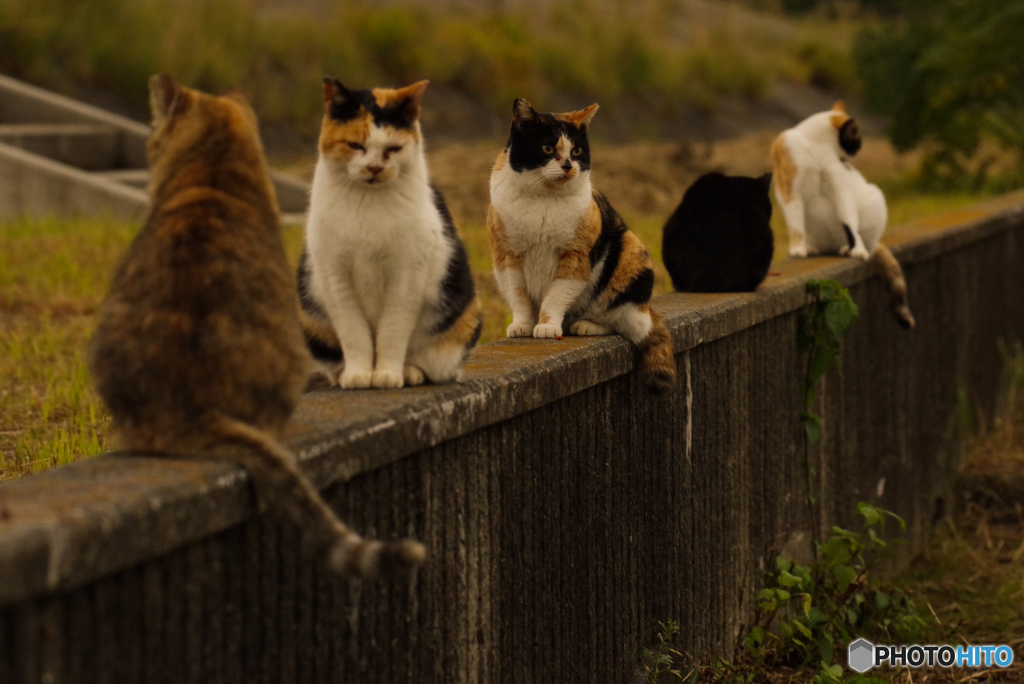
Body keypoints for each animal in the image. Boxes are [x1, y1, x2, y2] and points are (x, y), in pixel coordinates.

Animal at [299, 77, 483, 387]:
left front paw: (387, 374)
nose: (374, 167)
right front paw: (358, 374)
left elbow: (393, 331)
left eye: (393, 148)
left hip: (463, 316)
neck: (368, 203)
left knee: (434, 364)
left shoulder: (406, 274)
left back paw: (410, 372)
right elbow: (353, 332)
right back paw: (341, 375)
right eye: (355, 145)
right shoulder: (334, 275)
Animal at [770, 99, 917, 331]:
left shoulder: (840, 188)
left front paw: (857, 249)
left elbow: (849, 220)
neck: (818, 147)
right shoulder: (790, 189)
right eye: (857, 138)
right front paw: (797, 249)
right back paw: (812, 248)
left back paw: (848, 248)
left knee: (865, 240)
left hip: (875, 198)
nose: (859, 149)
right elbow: (796, 224)